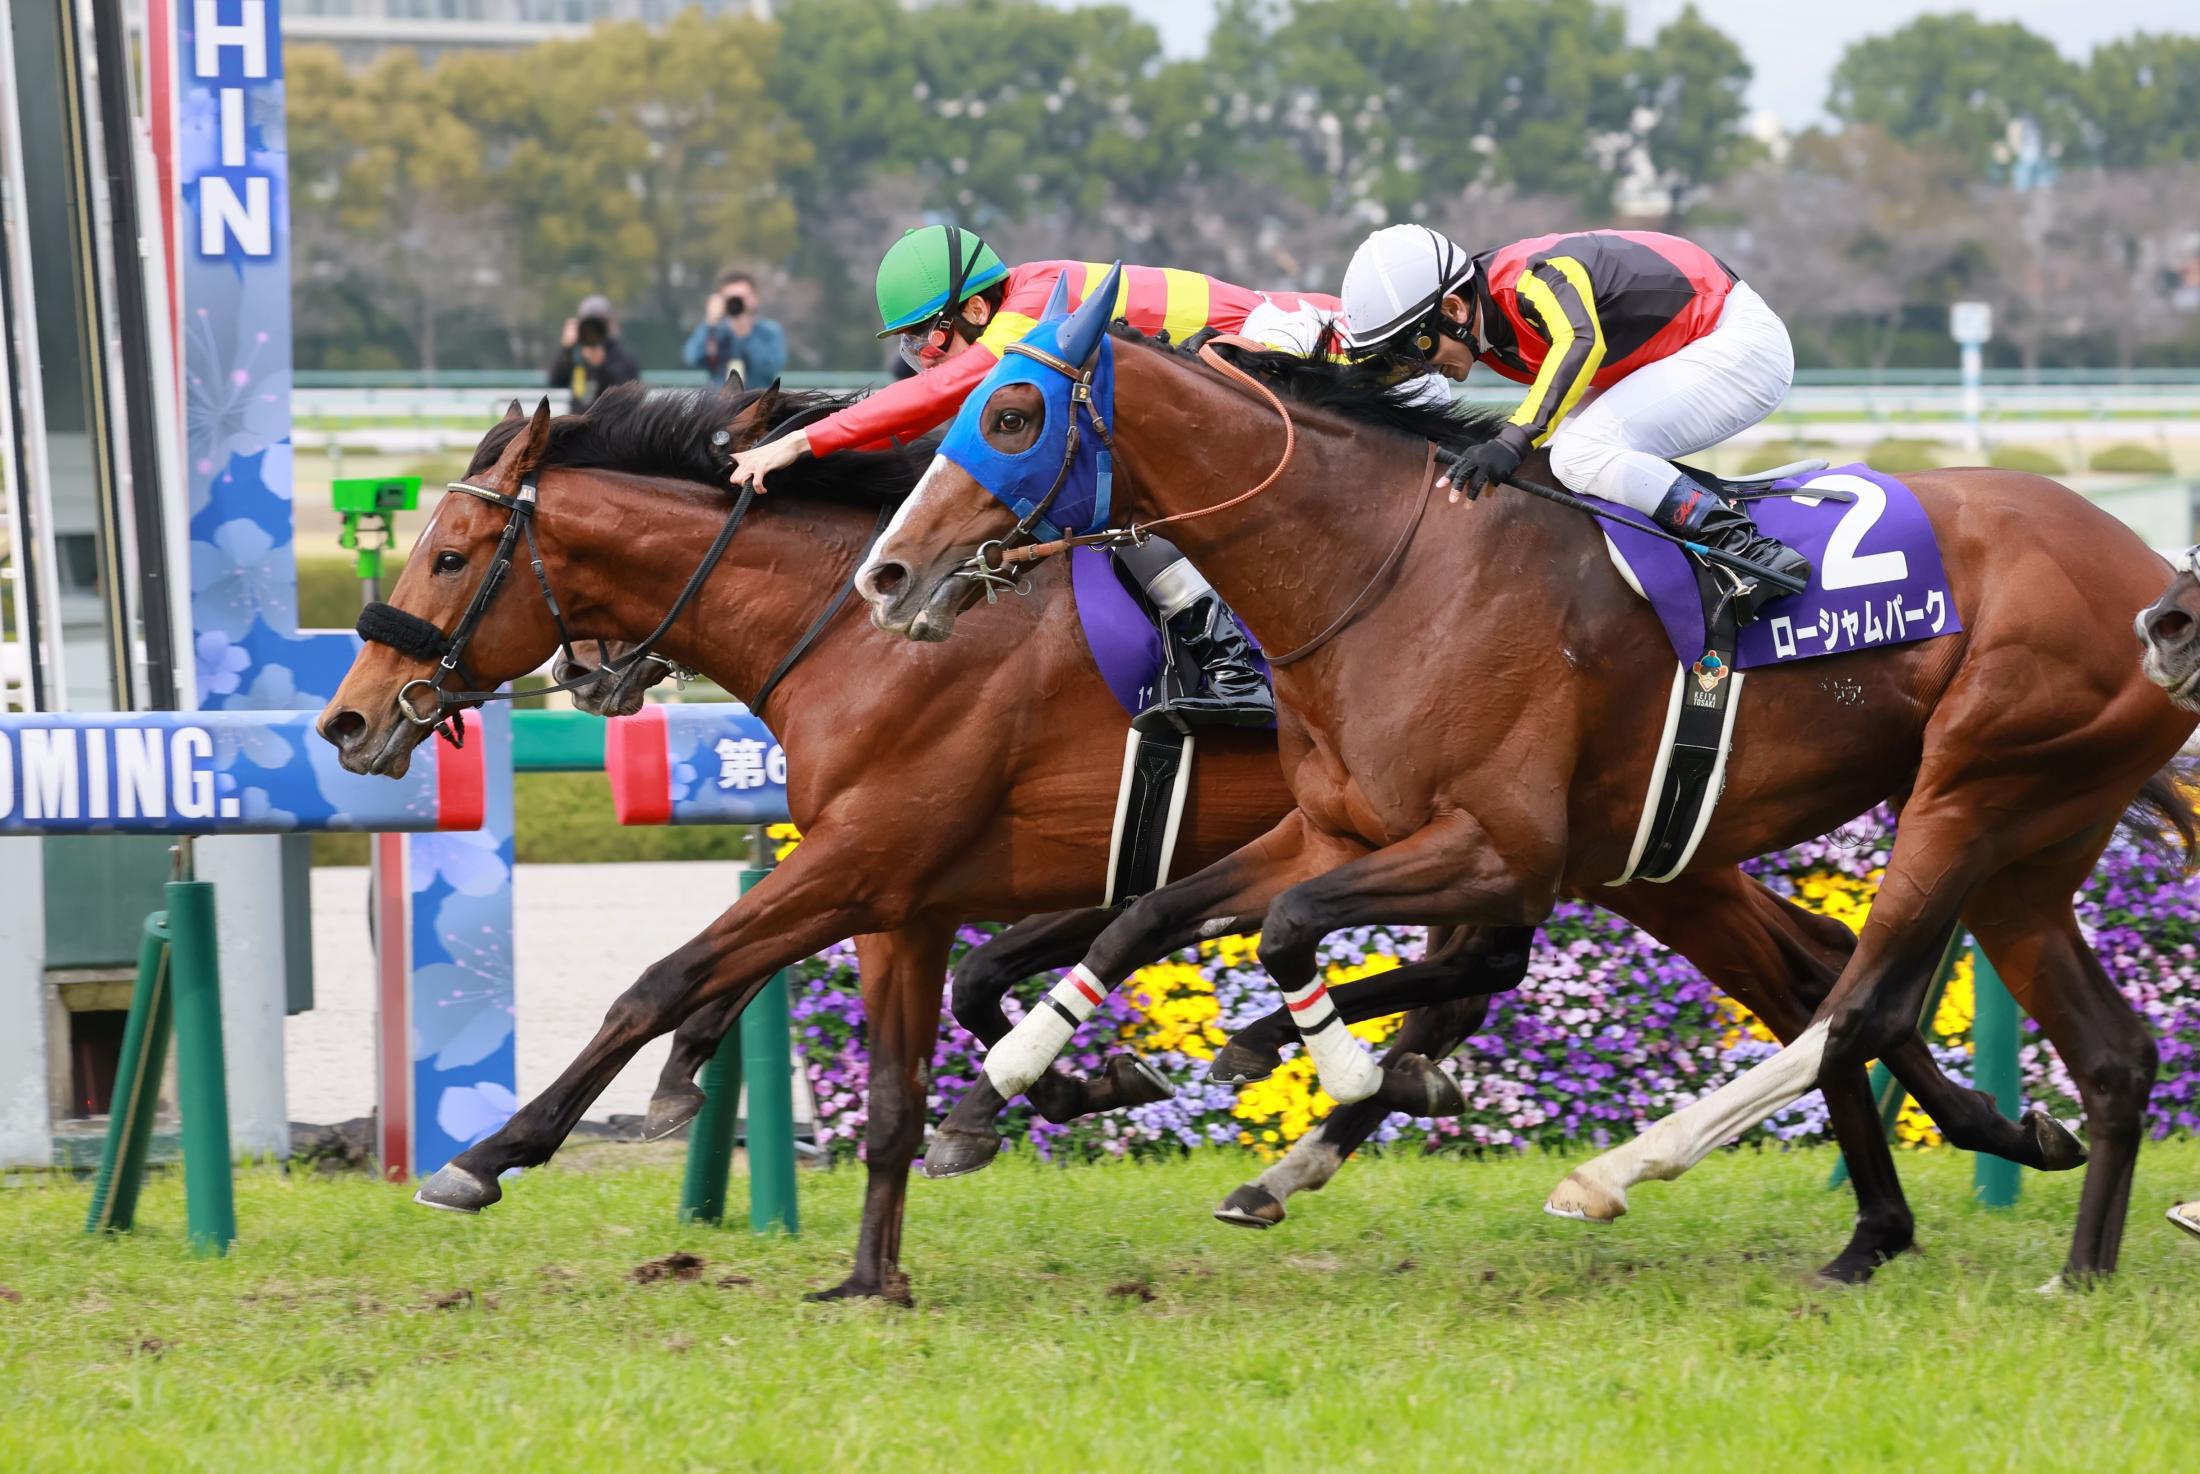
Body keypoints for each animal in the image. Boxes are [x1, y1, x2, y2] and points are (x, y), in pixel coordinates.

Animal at [314, 389, 2041, 1293]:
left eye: (450, 552)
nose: (348, 719)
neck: (856, 621)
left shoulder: (867, 856)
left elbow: (665, 978)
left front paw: (489, 1153)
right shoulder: (909, 888)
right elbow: (917, 1058)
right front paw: (886, 1257)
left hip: (1624, 849)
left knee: (1797, 975)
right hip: (1650, 850)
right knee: (1807, 968)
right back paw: (1958, 1161)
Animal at [858, 266, 2200, 1293]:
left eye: (1014, 415)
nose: (887, 573)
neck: (1385, 569)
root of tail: (2145, 570)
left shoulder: (1500, 845)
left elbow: (1291, 934)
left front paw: (1339, 1068)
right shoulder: (1334, 827)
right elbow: (1149, 918)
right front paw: (1003, 1089)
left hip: (1969, 790)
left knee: (1852, 1006)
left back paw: (1618, 1170)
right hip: (2025, 837)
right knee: (2106, 1048)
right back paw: (2066, 1260)